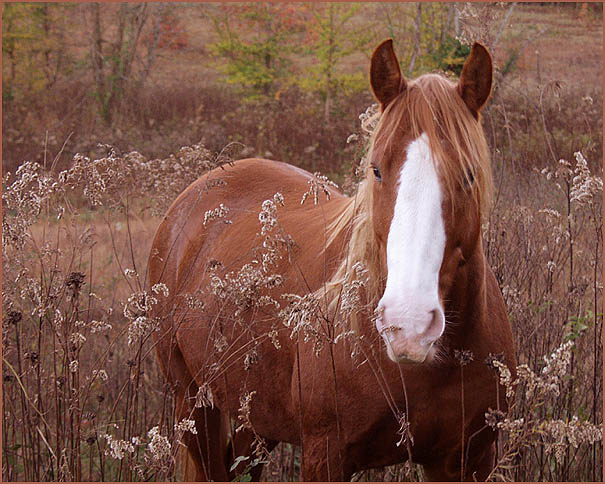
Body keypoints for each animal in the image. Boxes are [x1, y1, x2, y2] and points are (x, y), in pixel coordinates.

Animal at [147, 39, 516, 482]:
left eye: (469, 174)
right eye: (376, 170)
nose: (407, 324)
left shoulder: (468, 458)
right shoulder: (325, 453)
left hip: (255, 417)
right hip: (193, 402)